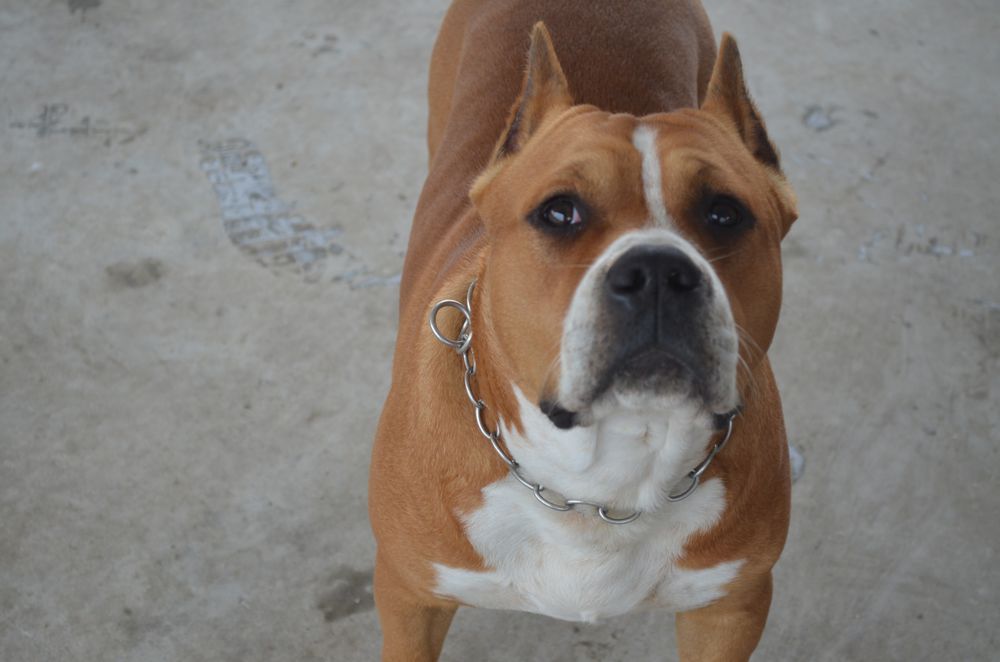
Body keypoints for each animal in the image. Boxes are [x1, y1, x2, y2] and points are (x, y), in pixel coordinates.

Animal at [369, 1, 798, 659]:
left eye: (725, 213)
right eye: (559, 212)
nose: (656, 272)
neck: (602, 486)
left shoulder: (731, 608)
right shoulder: (408, 597)